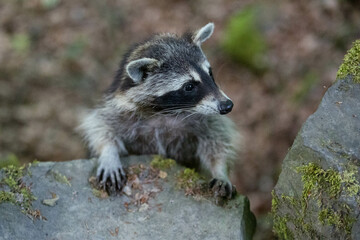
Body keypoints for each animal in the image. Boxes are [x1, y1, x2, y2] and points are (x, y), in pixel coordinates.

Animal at [80, 23, 240, 199]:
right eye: (189, 86)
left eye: (210, 73)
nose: (227, 105)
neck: (166, 111)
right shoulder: (120, 107)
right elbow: (100, 125)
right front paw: (108, 153)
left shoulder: (205, 118)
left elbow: (217, 139)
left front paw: (220, 170)